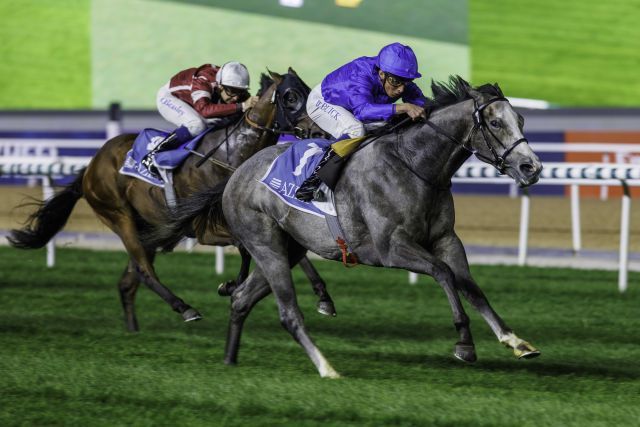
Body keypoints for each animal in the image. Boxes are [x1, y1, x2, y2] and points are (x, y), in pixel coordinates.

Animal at [8, 69, 336, 332]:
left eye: (308, 89)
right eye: (290, 96)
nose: (320, 131)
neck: (231, 155)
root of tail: (91, 165)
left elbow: (292, 254)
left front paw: (324, 298)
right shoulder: (206, 229)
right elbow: (247, 250)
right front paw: (230, 285)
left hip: (147, 227)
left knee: (128, 282)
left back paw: (133, 330)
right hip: (119, 216)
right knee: (144, 271)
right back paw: (185, 308)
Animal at [151, 77, 544, 378]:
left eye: (521, 119)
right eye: (495, 124)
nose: (532, 168)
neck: (415, 165)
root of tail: (236, 175)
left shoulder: (446, 239)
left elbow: (471, 287)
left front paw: (516, 341)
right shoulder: (390, 248)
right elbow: (443, 274)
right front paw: (464, 343)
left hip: (285, 250)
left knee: (241, 299)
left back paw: (230, 360)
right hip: (266, 246)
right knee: (288, 314)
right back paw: (326, 367)